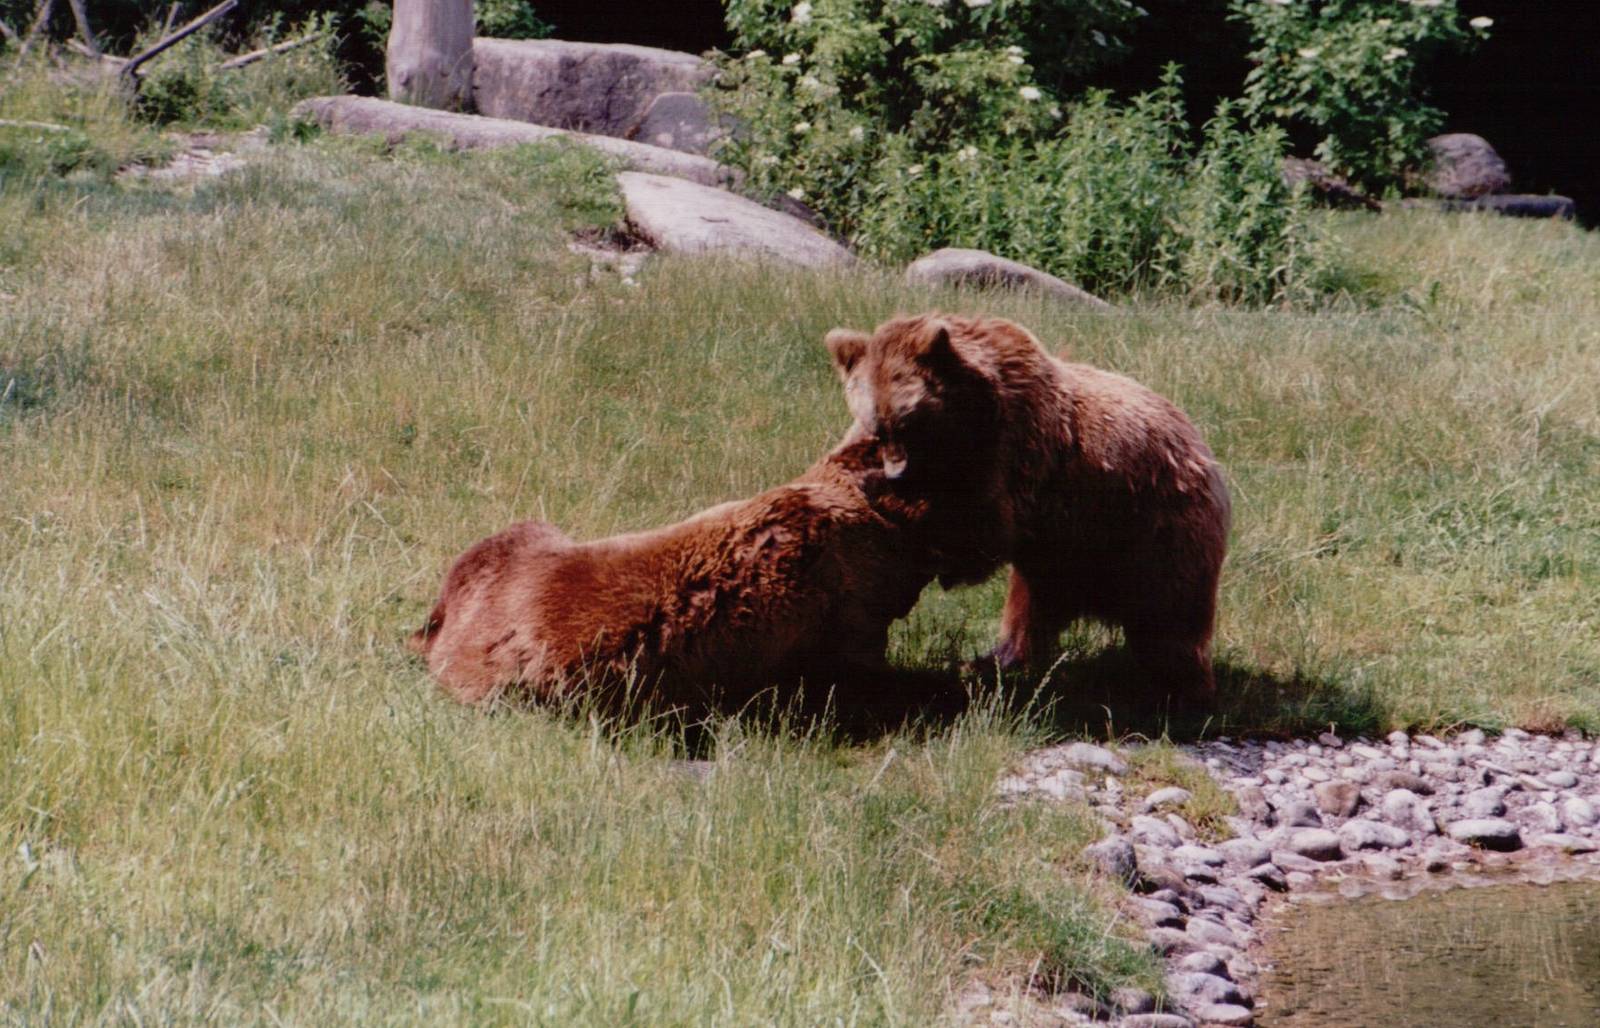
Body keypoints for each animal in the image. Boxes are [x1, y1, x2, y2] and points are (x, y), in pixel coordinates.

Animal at [824, 313, 1231, 704]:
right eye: (879, 429)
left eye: (905, 425)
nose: (896, 473)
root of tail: (1202, 448)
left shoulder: (1016, 451)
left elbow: (981, 524)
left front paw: (887, 494)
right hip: (1063, 557)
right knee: (1031, 608)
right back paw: (993, 660)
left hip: (1153, 528)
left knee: (1170, 616)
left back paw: (1186, 688)